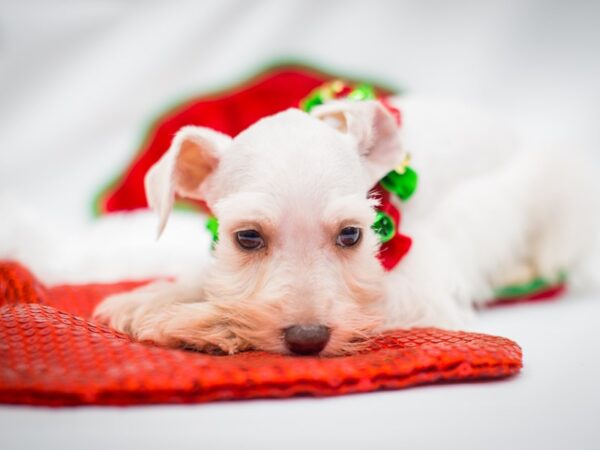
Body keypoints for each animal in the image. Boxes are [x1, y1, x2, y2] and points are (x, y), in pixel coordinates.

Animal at [92, 94, 596, 356]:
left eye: (351, 234)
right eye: (247, 237)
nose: (308, 340)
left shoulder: (417, 290)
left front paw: (203, 322)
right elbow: (206, 279)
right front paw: (147, 299)